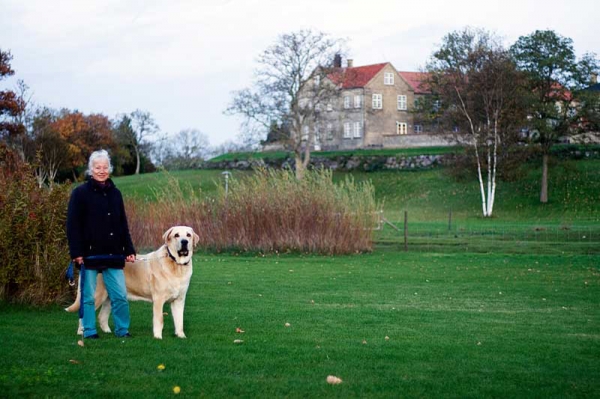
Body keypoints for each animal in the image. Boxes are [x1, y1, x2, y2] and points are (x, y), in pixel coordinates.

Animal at [67, 227, 199, 340]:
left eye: (188, 235)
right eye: (176, 235)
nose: (184, 242)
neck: (176, 264)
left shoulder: (179, 300)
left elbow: (179, 321)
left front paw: (181, 336)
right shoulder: (159, 299)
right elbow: (159, 319)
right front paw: (157, 337)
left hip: (110, 296)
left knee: (102, 316)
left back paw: (108, 331)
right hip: (97, 295)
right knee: (83, 314)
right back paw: (82, 332)